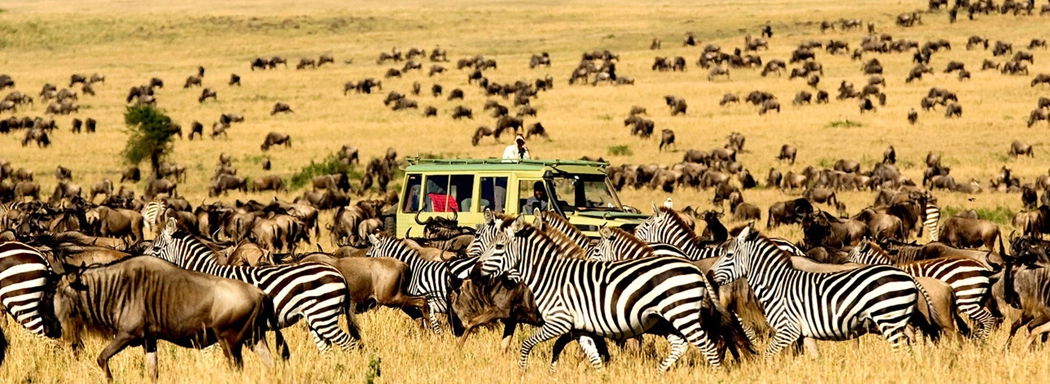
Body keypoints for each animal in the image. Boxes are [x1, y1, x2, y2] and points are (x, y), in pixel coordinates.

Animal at [145, 217, 361, 352]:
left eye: (156, 248)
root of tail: (337, 273)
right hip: (315, 318)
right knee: (328, 349)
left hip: (323, 314)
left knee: (350, 344)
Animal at [480, 216, 751, 369]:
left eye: (499, 246)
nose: (477, 270)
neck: (550, 275)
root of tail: (694, 267)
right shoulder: (581, 327)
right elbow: (593, 357)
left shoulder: (559, 321)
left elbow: (527, 345)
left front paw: (522, 371)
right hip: (669, 318)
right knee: (681, 345)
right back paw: (660, 373)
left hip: (681, 313)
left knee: (709, 346)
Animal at [713, 224, 936, 356]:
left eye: (728, 255)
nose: (709, 275)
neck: (777, 285)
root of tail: (907, 276)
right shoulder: (804, 332)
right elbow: (813, 357)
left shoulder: (787, 329)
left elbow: (769, 355)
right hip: (900, 320)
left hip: (889, 319)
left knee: (902, 350)